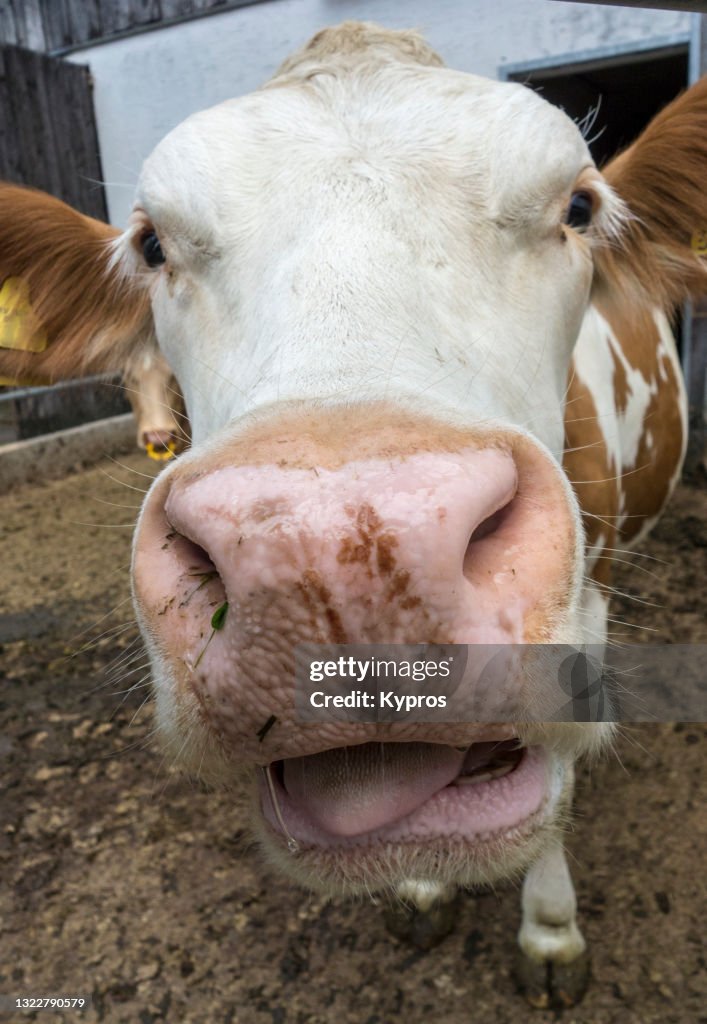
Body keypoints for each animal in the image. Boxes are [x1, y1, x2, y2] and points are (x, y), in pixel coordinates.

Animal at [1, 22, 704, 1008]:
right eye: (150, 246)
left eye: (576, 206)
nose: (329, 560)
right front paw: (419, 890)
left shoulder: (586, 607)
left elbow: (558, 775)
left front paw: (550, 932)